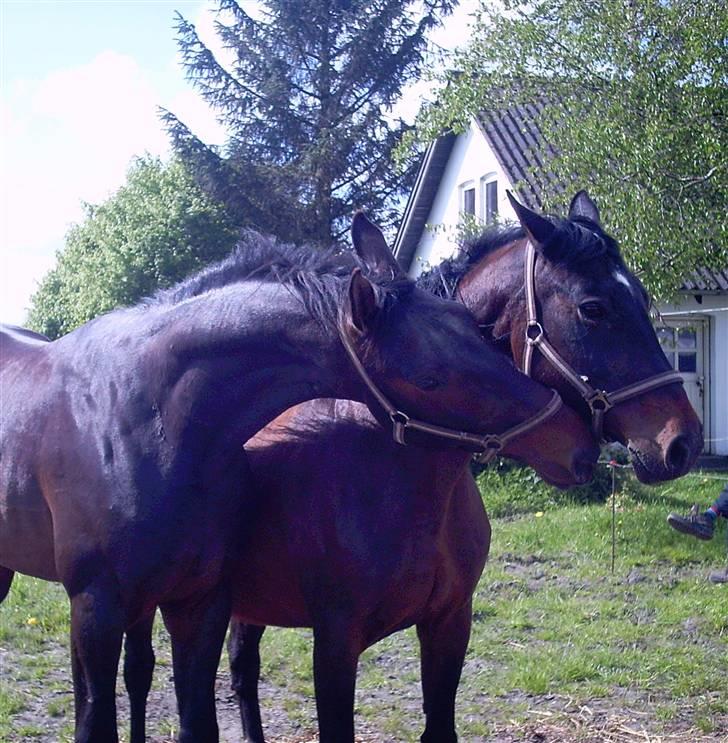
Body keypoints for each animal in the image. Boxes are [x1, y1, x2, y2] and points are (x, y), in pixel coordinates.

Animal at [0, 212, 596, 740]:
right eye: (429, 378)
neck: (147, 417)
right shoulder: (95, 609)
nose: (577, 441)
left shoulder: (199, 602)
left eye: (477, 330)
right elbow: (95, 721)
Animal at [121, 193, 704, 743]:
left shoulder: (449, 624)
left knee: (243, 670)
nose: (683, 443)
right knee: (142, 674)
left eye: (644, 299)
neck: (400, 482)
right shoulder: (335, 644)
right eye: (593, 308)